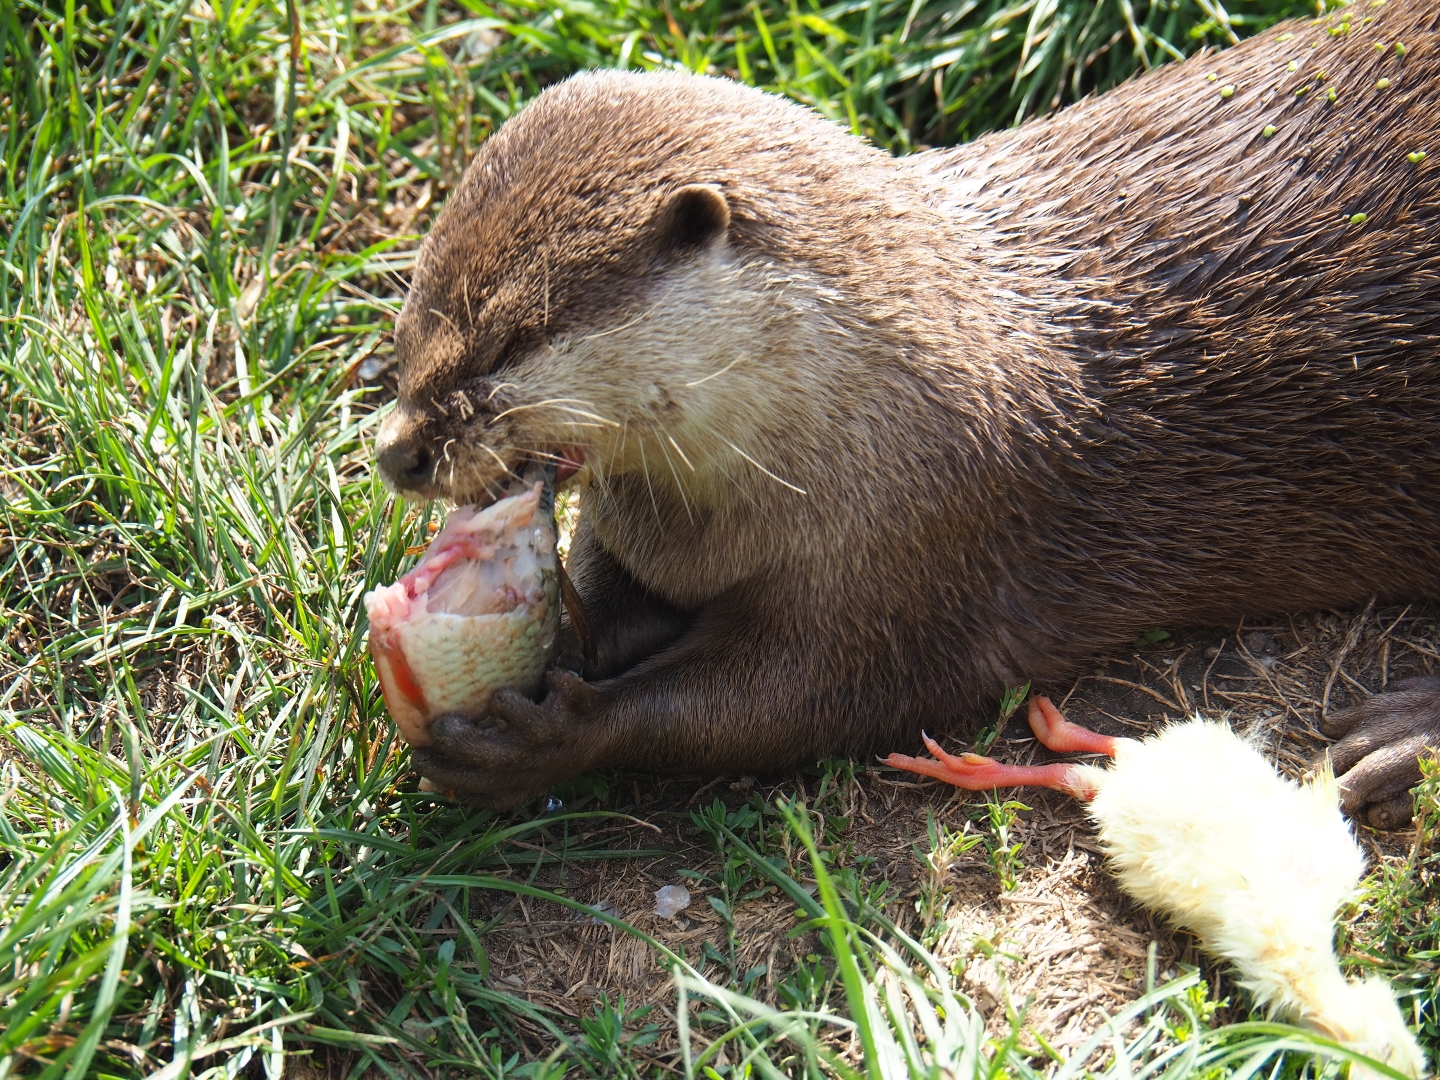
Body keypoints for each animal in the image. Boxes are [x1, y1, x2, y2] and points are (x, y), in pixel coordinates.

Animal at [375, 0, 1440, 824]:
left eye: (509, 338)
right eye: (417, 309)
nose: (399, 451)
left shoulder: (918, 552)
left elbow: (791, 702)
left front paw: (550, 735)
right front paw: (557, 641)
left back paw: (1393, 737)